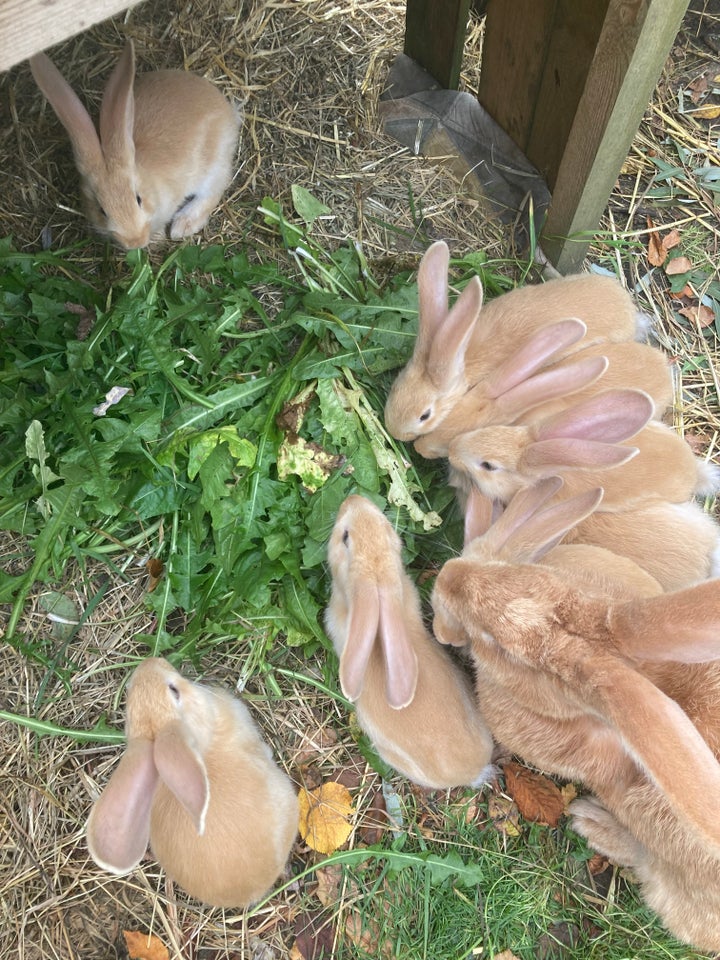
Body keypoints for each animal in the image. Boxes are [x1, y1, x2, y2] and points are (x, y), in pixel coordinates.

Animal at [30, 41, 242, 251]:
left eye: (138, 199)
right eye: (102, 210)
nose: (135, 242)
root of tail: (225, 108)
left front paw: (160, 237)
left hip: (213, 166)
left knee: (214, 190)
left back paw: (182, 225)